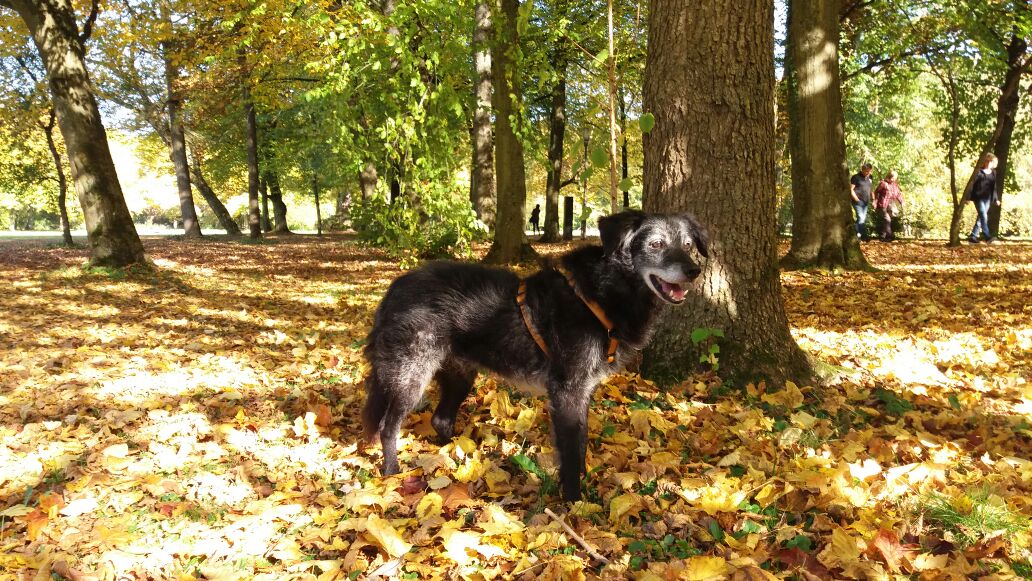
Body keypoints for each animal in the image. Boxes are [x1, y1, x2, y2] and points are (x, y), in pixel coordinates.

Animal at [363, 211, 710, 501]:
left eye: (689, 245)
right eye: (656, 244)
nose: (694, 271)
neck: (599, 295)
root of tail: (396, 288)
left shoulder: (582, 392)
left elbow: (580, 442)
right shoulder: (567, 392)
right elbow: (570, 449)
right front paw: (574, 502)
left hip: (460, 375)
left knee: (441, 418)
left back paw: (455, 458)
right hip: (410, 377)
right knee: (387, 426)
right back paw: (393, 472)